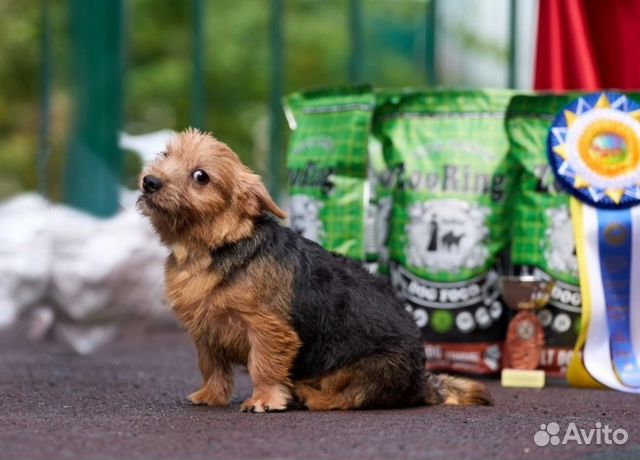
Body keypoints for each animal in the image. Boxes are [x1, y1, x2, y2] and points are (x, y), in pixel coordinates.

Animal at [139, 129, 490, 414]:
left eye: (201, 176)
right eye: (165, 155)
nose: (149, 181)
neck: (214, 246)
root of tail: (422, 381)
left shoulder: (268, 330)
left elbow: (264, 366)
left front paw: (264, 399)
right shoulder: (206, 332)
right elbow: (211, 367)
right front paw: (210, 396)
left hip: (370, 369)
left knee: (350, 398)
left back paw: (311, 395)